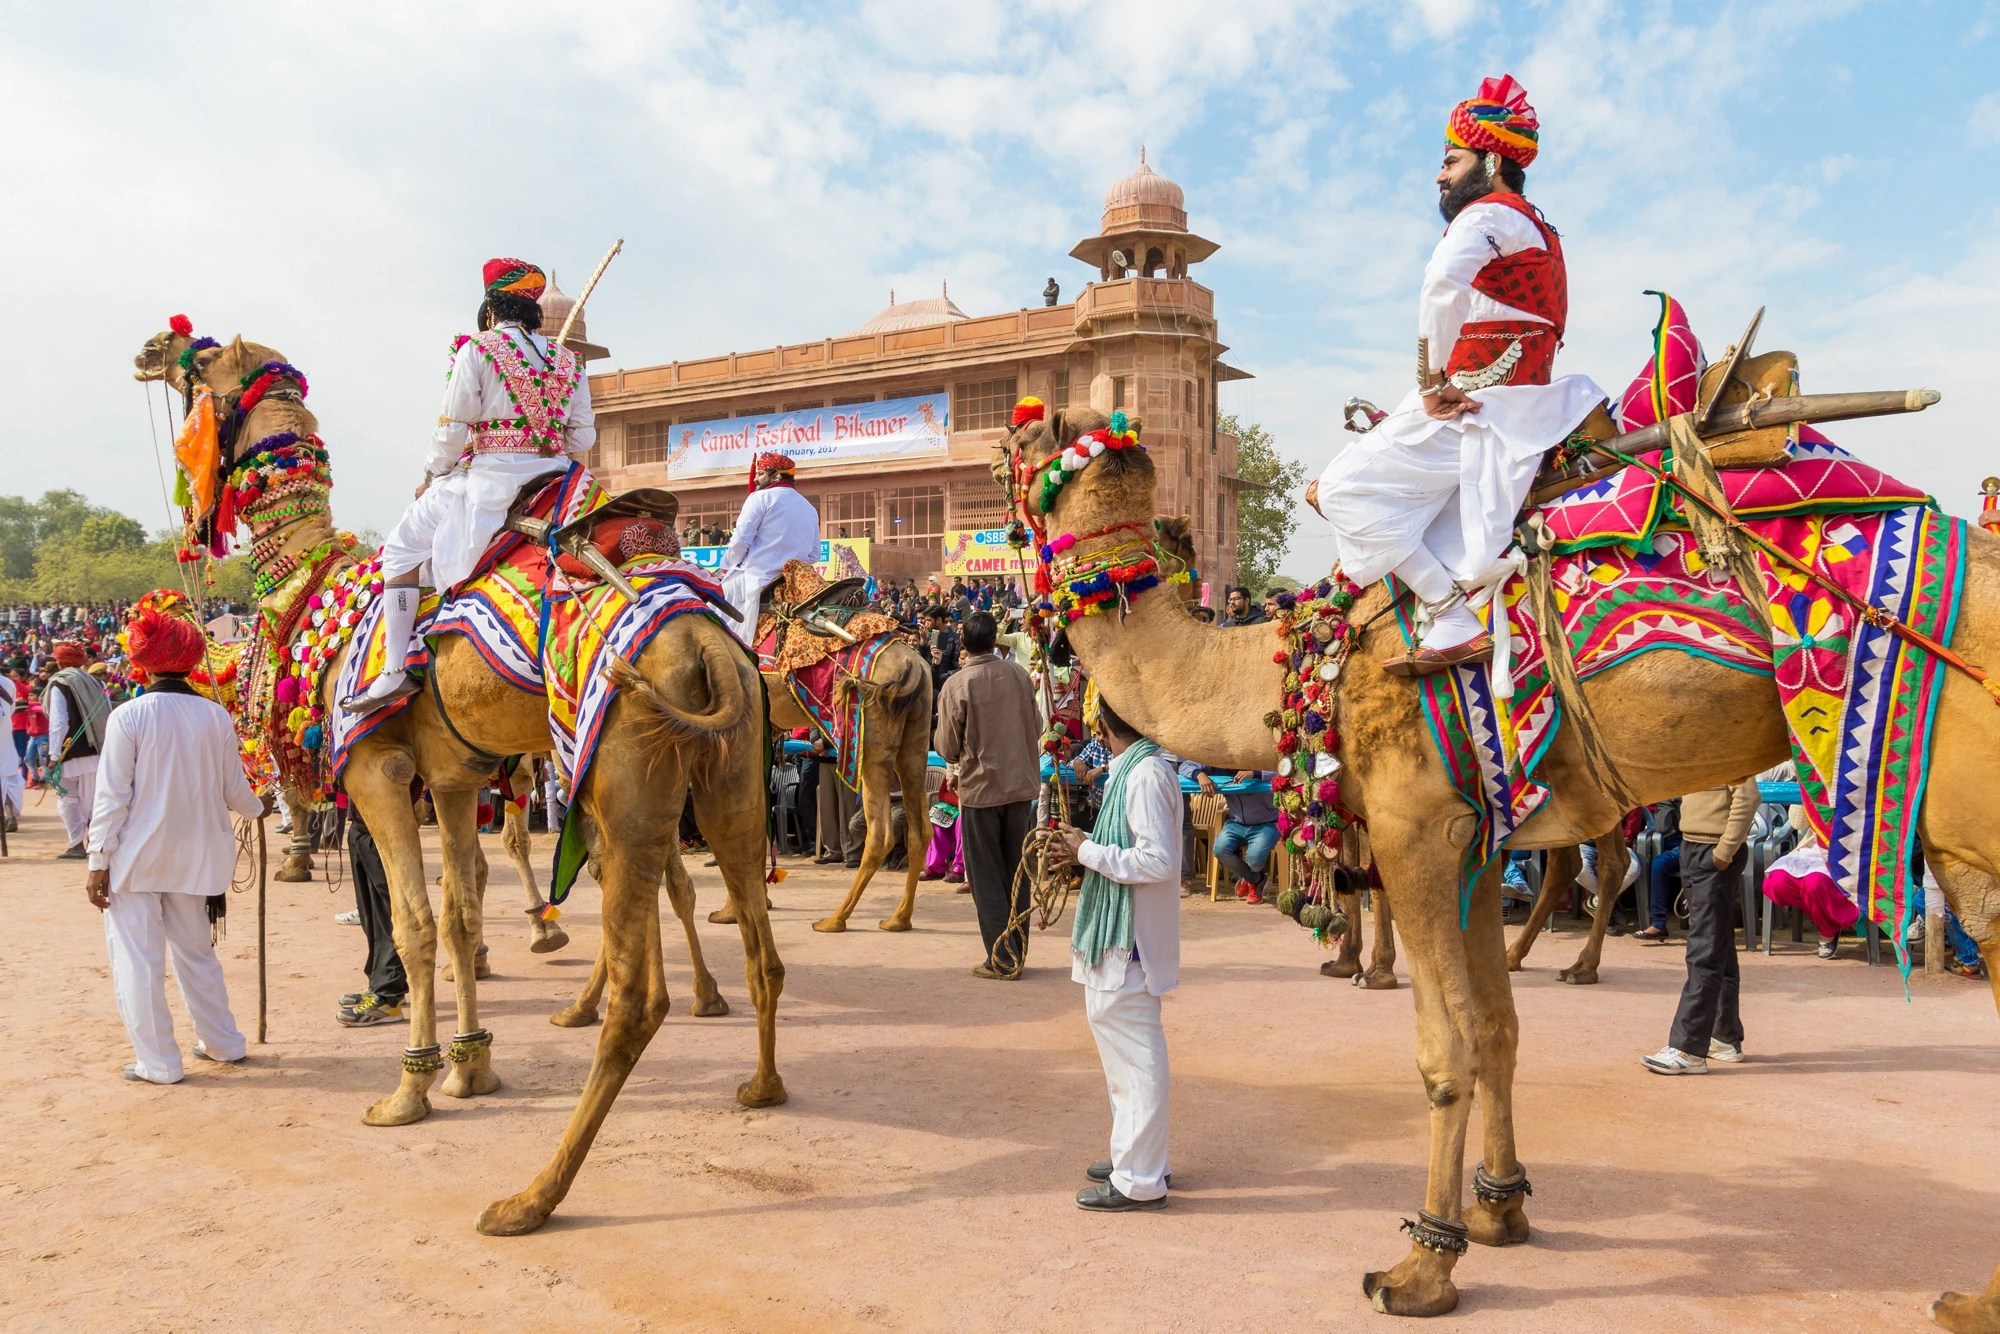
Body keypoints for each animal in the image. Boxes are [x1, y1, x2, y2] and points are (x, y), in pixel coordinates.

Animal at [135, 326, 780, 1240]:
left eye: (203, 363)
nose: (150, 347)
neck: (316, 598)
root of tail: (705, 646)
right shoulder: (450, 776)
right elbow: (459, 912)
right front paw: (471, 1070)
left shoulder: (377, 769)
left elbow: (411, 923)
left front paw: (408, 1085)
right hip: (726, 780)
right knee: (760, 945)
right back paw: (760, 1085)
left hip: (624, 777)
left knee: (640, 995)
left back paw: (530, 1198)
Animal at [1008, 396, 2000, 1328]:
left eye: (1019, 442)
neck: (1302, 666)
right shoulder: (1475, 841)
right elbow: (1497, 1030)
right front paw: (1499, 1212)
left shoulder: (1412, 828)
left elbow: (1443, 1050)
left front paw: (1422, 1266)